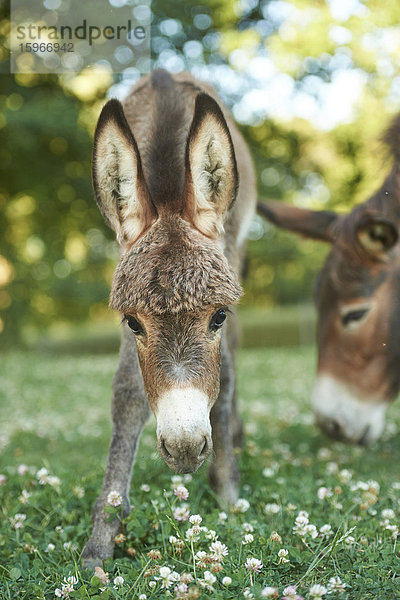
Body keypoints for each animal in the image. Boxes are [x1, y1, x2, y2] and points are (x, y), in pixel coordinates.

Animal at [82, 70, 255, 564]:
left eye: (218, 317)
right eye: (133, 323)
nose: (184, 448)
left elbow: (226, 376)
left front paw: (228, 493)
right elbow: (127, 392)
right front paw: (103, 532)